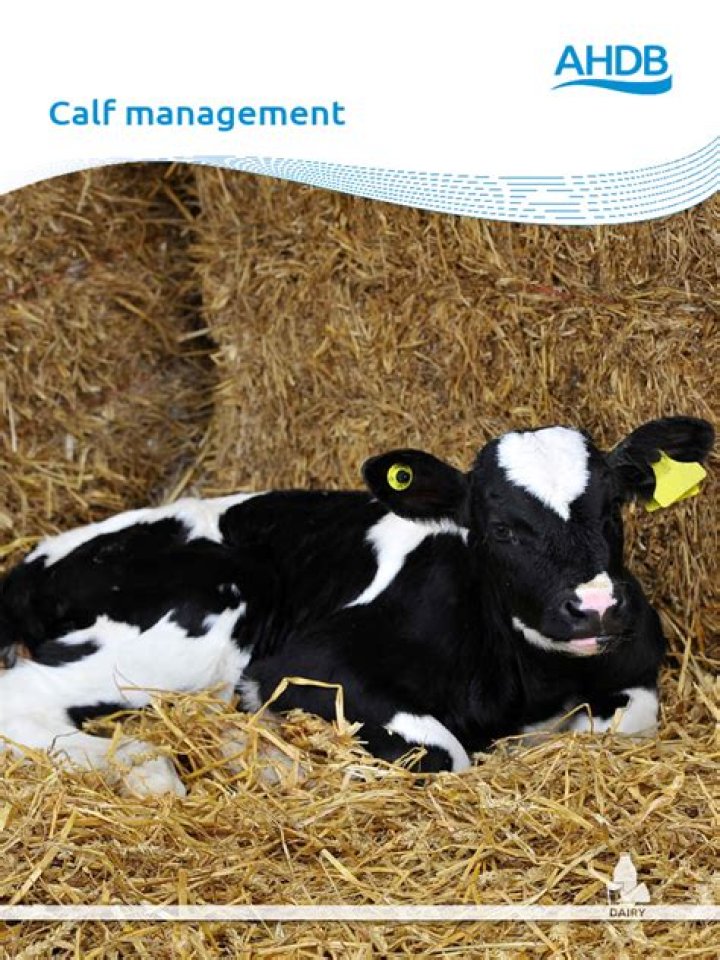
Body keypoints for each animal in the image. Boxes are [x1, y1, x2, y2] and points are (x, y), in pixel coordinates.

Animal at [0, 416, 713, 794]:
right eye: (502, 529)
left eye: (612, 509)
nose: (595, 606)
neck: (533, 681)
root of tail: (34, 562)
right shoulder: (303, 666)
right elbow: (445, 750)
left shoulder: (634, 669)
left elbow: (627, 718)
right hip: (205, 608)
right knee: (26, 699)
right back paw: (154, 766)